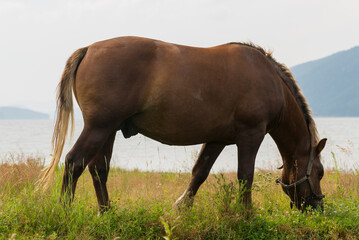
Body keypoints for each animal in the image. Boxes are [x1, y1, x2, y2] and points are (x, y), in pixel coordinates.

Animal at [40, 35, 328, 212]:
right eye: (321, 173)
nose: (318, 207)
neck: (269, 79)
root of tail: (88, 49)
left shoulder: (217, 139)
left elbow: (199, 172)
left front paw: (181, 207)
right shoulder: (251, 135)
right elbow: (245, 176)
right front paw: (247, 214)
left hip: (106, 130)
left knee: (98, 169)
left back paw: (106, 212)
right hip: (98, 127)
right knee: (74, 162)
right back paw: (65, 209)